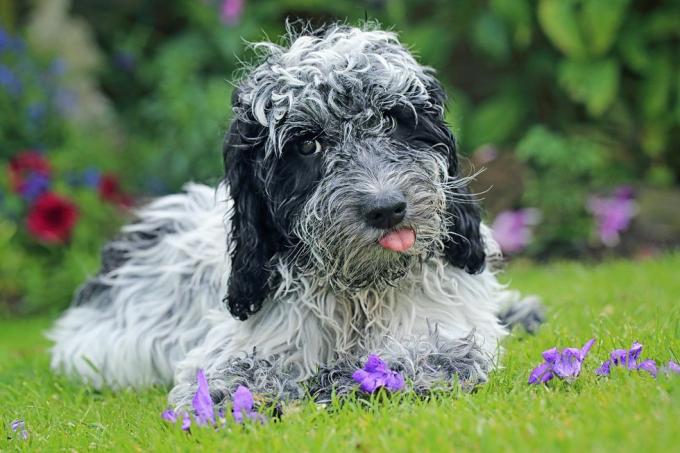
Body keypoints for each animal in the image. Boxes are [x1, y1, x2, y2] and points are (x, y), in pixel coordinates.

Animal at [49, 23, 540, 408]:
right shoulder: (241, 339)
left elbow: (425, 357)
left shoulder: (446, 331)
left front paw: (342, 380)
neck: (360, 290)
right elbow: (234, 370)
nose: (386, 209)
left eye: (391, 120)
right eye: (307, 145)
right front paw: (230, 396)